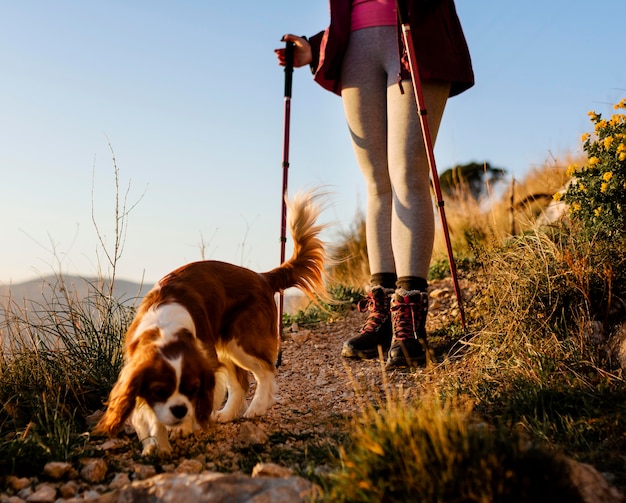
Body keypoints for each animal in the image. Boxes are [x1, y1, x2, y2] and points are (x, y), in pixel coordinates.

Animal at [95, 190, 326, 456]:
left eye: (192, 389)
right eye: (159, 391)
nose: (179, 410)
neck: (164, 330)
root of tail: (262, 277)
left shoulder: (207, 363)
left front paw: (182, 428)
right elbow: (151, 416)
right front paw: (158, 445)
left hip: (239, 341)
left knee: (265, 370)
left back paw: (256, 408)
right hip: (224, 344)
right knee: (240, 382)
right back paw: (227, 414)